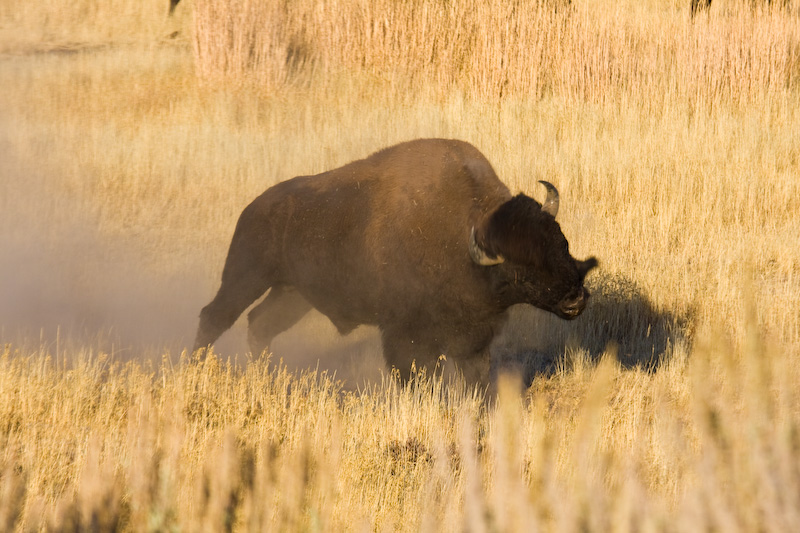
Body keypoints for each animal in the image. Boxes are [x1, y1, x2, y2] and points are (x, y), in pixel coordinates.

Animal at [192, 138, 592, 382]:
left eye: (561, 242)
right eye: (522, 267)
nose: (575, 298)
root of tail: (255, 207)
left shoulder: (474, 340)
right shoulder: (405, 334)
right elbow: (415, 374)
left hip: (293, 295)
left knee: (260, 324)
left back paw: (269, 375)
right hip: (246, 276)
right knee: (215, 316)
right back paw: (195, 370)